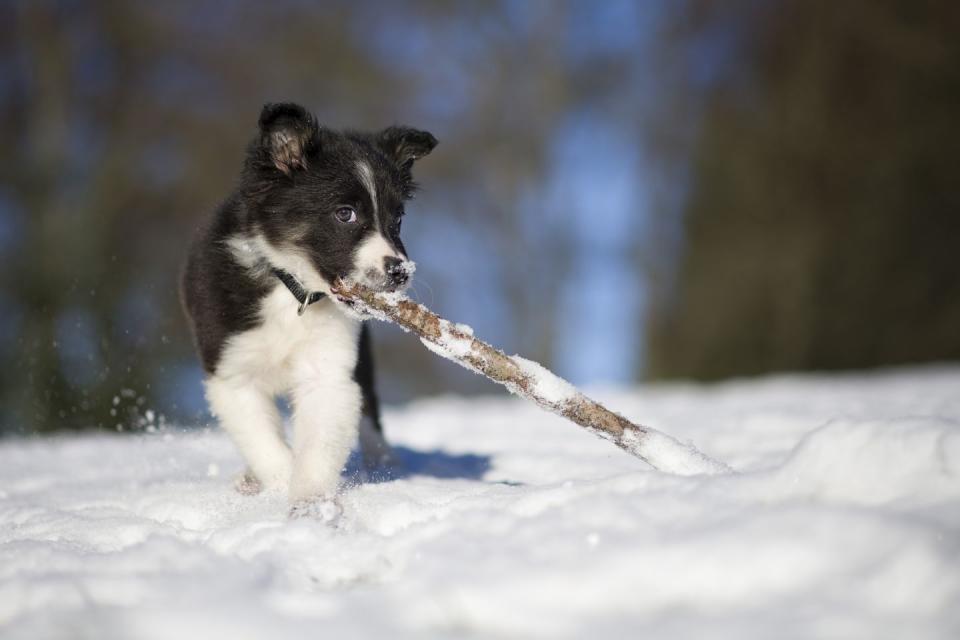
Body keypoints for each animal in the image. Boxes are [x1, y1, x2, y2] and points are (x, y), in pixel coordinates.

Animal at [182, 102, 436, 516]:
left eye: (397, 220)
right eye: (345, 213)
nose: (400, 272)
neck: (293, 292)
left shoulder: (328, 370)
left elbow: (318, 445)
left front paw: (311, 505)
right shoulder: (233, 373)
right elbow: (265, 445)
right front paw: (281, 487)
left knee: (370, 414)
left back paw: (385, 464)